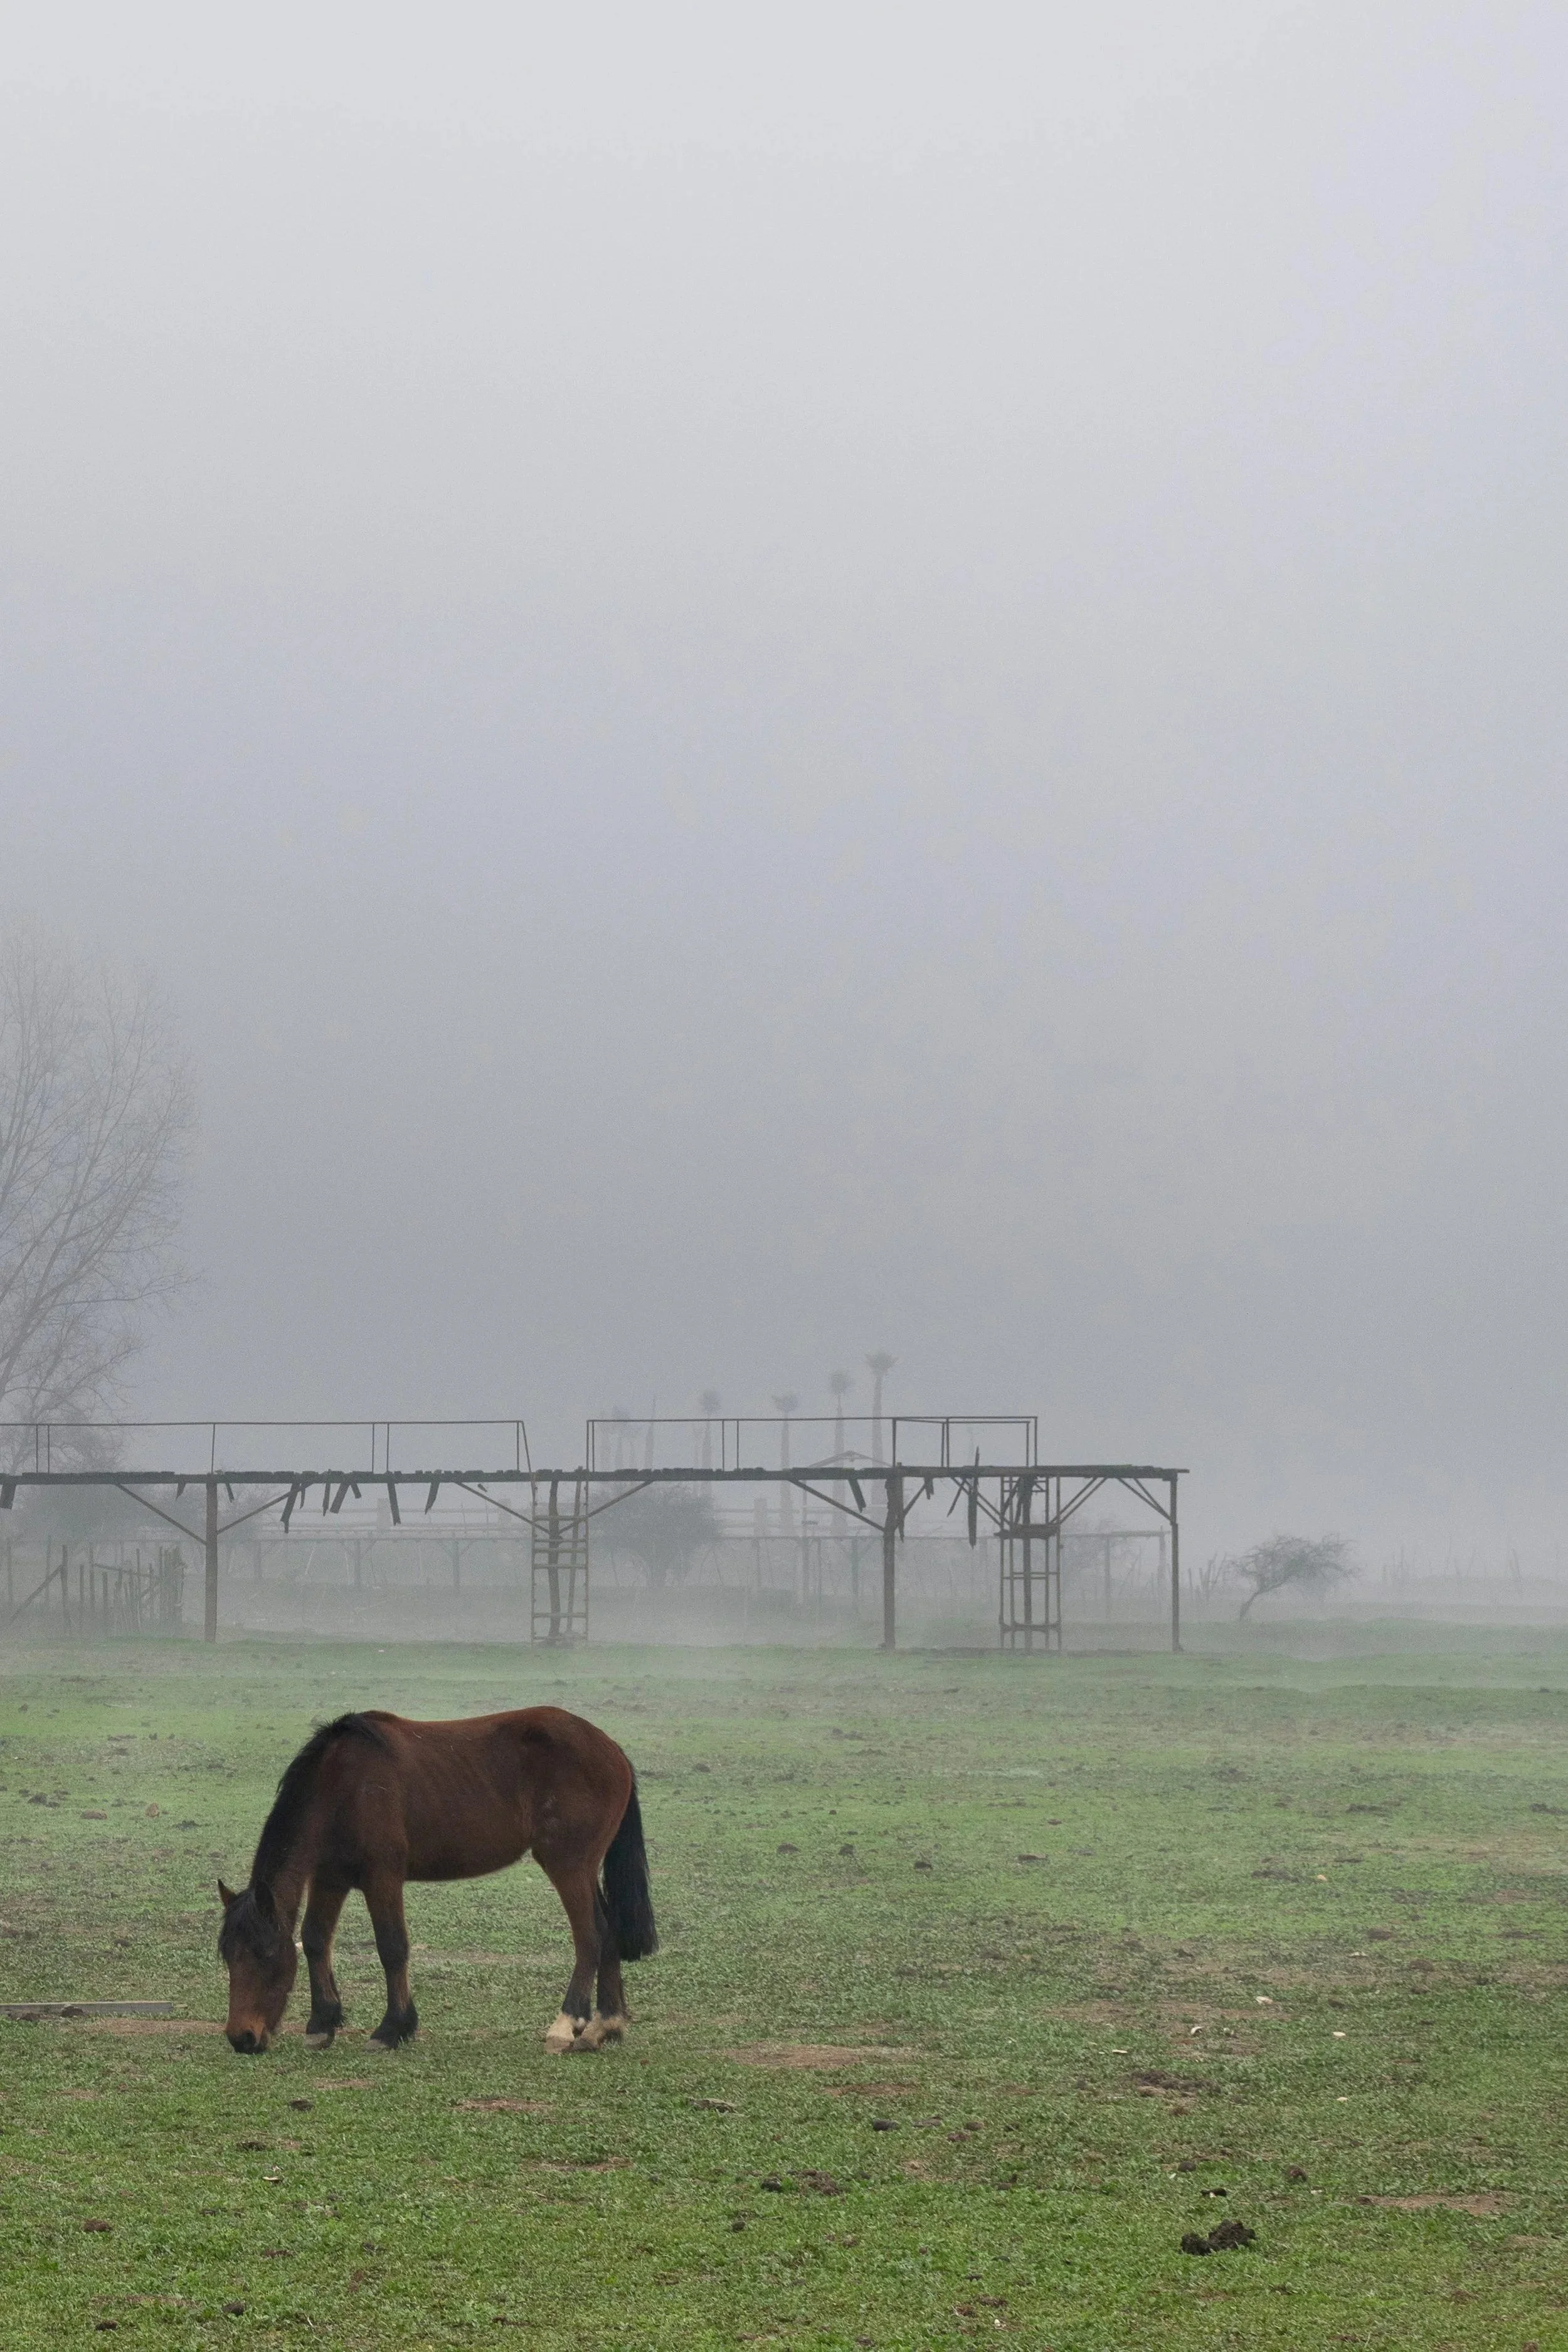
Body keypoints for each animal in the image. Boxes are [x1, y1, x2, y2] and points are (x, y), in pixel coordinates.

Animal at [217, 1705, 656, 2057]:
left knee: (589, 1936)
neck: (341, 1787)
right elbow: (314, 1940)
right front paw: (322, 2023)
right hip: (583, 1869)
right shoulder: (330, 1879)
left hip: (568, 1866)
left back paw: (567, 2025)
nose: (243, 2038)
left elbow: (392, 1947)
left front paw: (393, 2027)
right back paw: (604, 2026)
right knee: (608, 1931)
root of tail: (611, 1749)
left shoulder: (383, 1878)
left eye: (264, 1955)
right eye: (227, 1956)